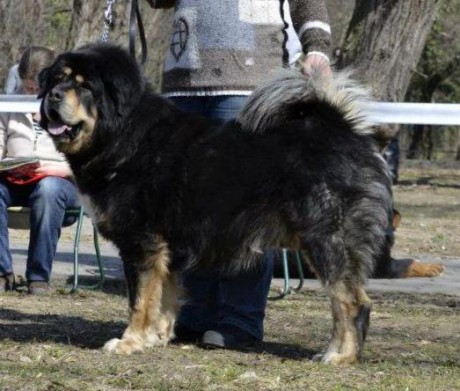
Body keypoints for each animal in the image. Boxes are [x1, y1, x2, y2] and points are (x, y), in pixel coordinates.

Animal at [38, 44, 392, 366]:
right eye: (58, 79)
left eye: (84, 86)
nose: (52, 95)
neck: (126, 136)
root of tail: (344, 131)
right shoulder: (165, 250)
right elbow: (164, 298)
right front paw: (156, 338)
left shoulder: (142, 244)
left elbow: (139, 300)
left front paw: (130, 341)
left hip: (327, 241)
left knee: (352, 302)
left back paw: (340, 355)